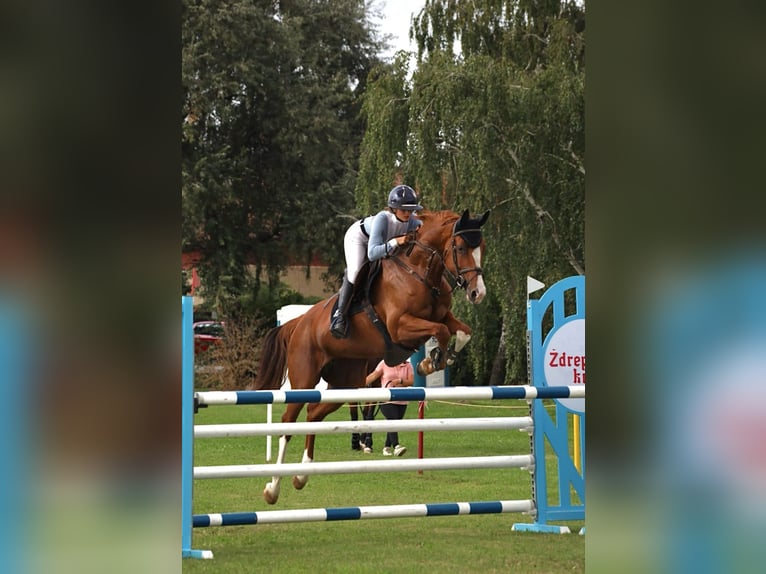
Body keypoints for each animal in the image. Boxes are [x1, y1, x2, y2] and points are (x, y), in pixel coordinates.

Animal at [252, 209, 490, 504]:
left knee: (313, 414)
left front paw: (442, 357)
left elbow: (462, 331)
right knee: (288, 421)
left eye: (482, 247)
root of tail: (299, 323)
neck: (420, 273)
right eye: (459, 248)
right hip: (305, 378)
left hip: (345, 383)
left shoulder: (443, 315)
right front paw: (430, 361)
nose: (478, 293)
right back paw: (273, 488)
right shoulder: (400, 326)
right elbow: (441, 331)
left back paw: (301, 476)